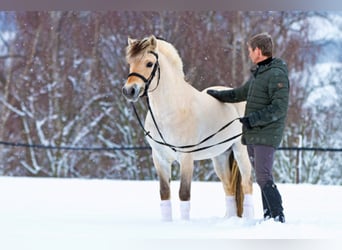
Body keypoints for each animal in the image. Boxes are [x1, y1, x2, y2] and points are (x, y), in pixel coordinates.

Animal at [121, 34, 252, 221]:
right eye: (130, 63)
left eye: (149, 63)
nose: (129, 91)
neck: (171, 110)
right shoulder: (159, 158)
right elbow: (164, 193)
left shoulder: (186, 158)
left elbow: (184, 193)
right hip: (220, 155)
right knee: (228, 187)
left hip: (240, 150)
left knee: (247, 183)